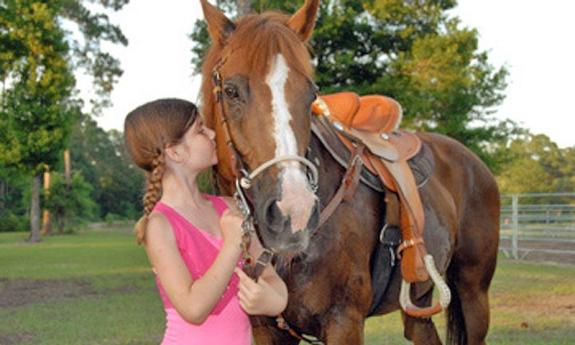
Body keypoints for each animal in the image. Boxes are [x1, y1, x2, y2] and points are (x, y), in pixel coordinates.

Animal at [198, 1, 500, 342]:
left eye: (311, 93)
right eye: (231, 90)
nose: (294, 214)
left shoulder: (344, 321)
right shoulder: (267, 329)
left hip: (473, 292)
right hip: (418, 302)